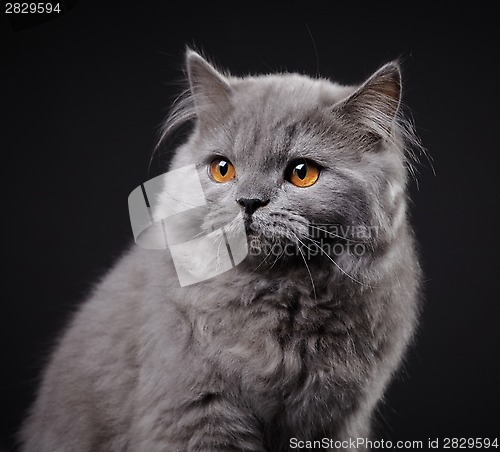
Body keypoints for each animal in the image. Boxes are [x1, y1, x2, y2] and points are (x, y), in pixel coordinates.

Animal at [21, 51, 424, 450]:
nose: (249, 202)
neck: (277, 301)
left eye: (302, 172)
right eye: (222, 169)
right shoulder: (196, 413)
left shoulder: (338, 423)